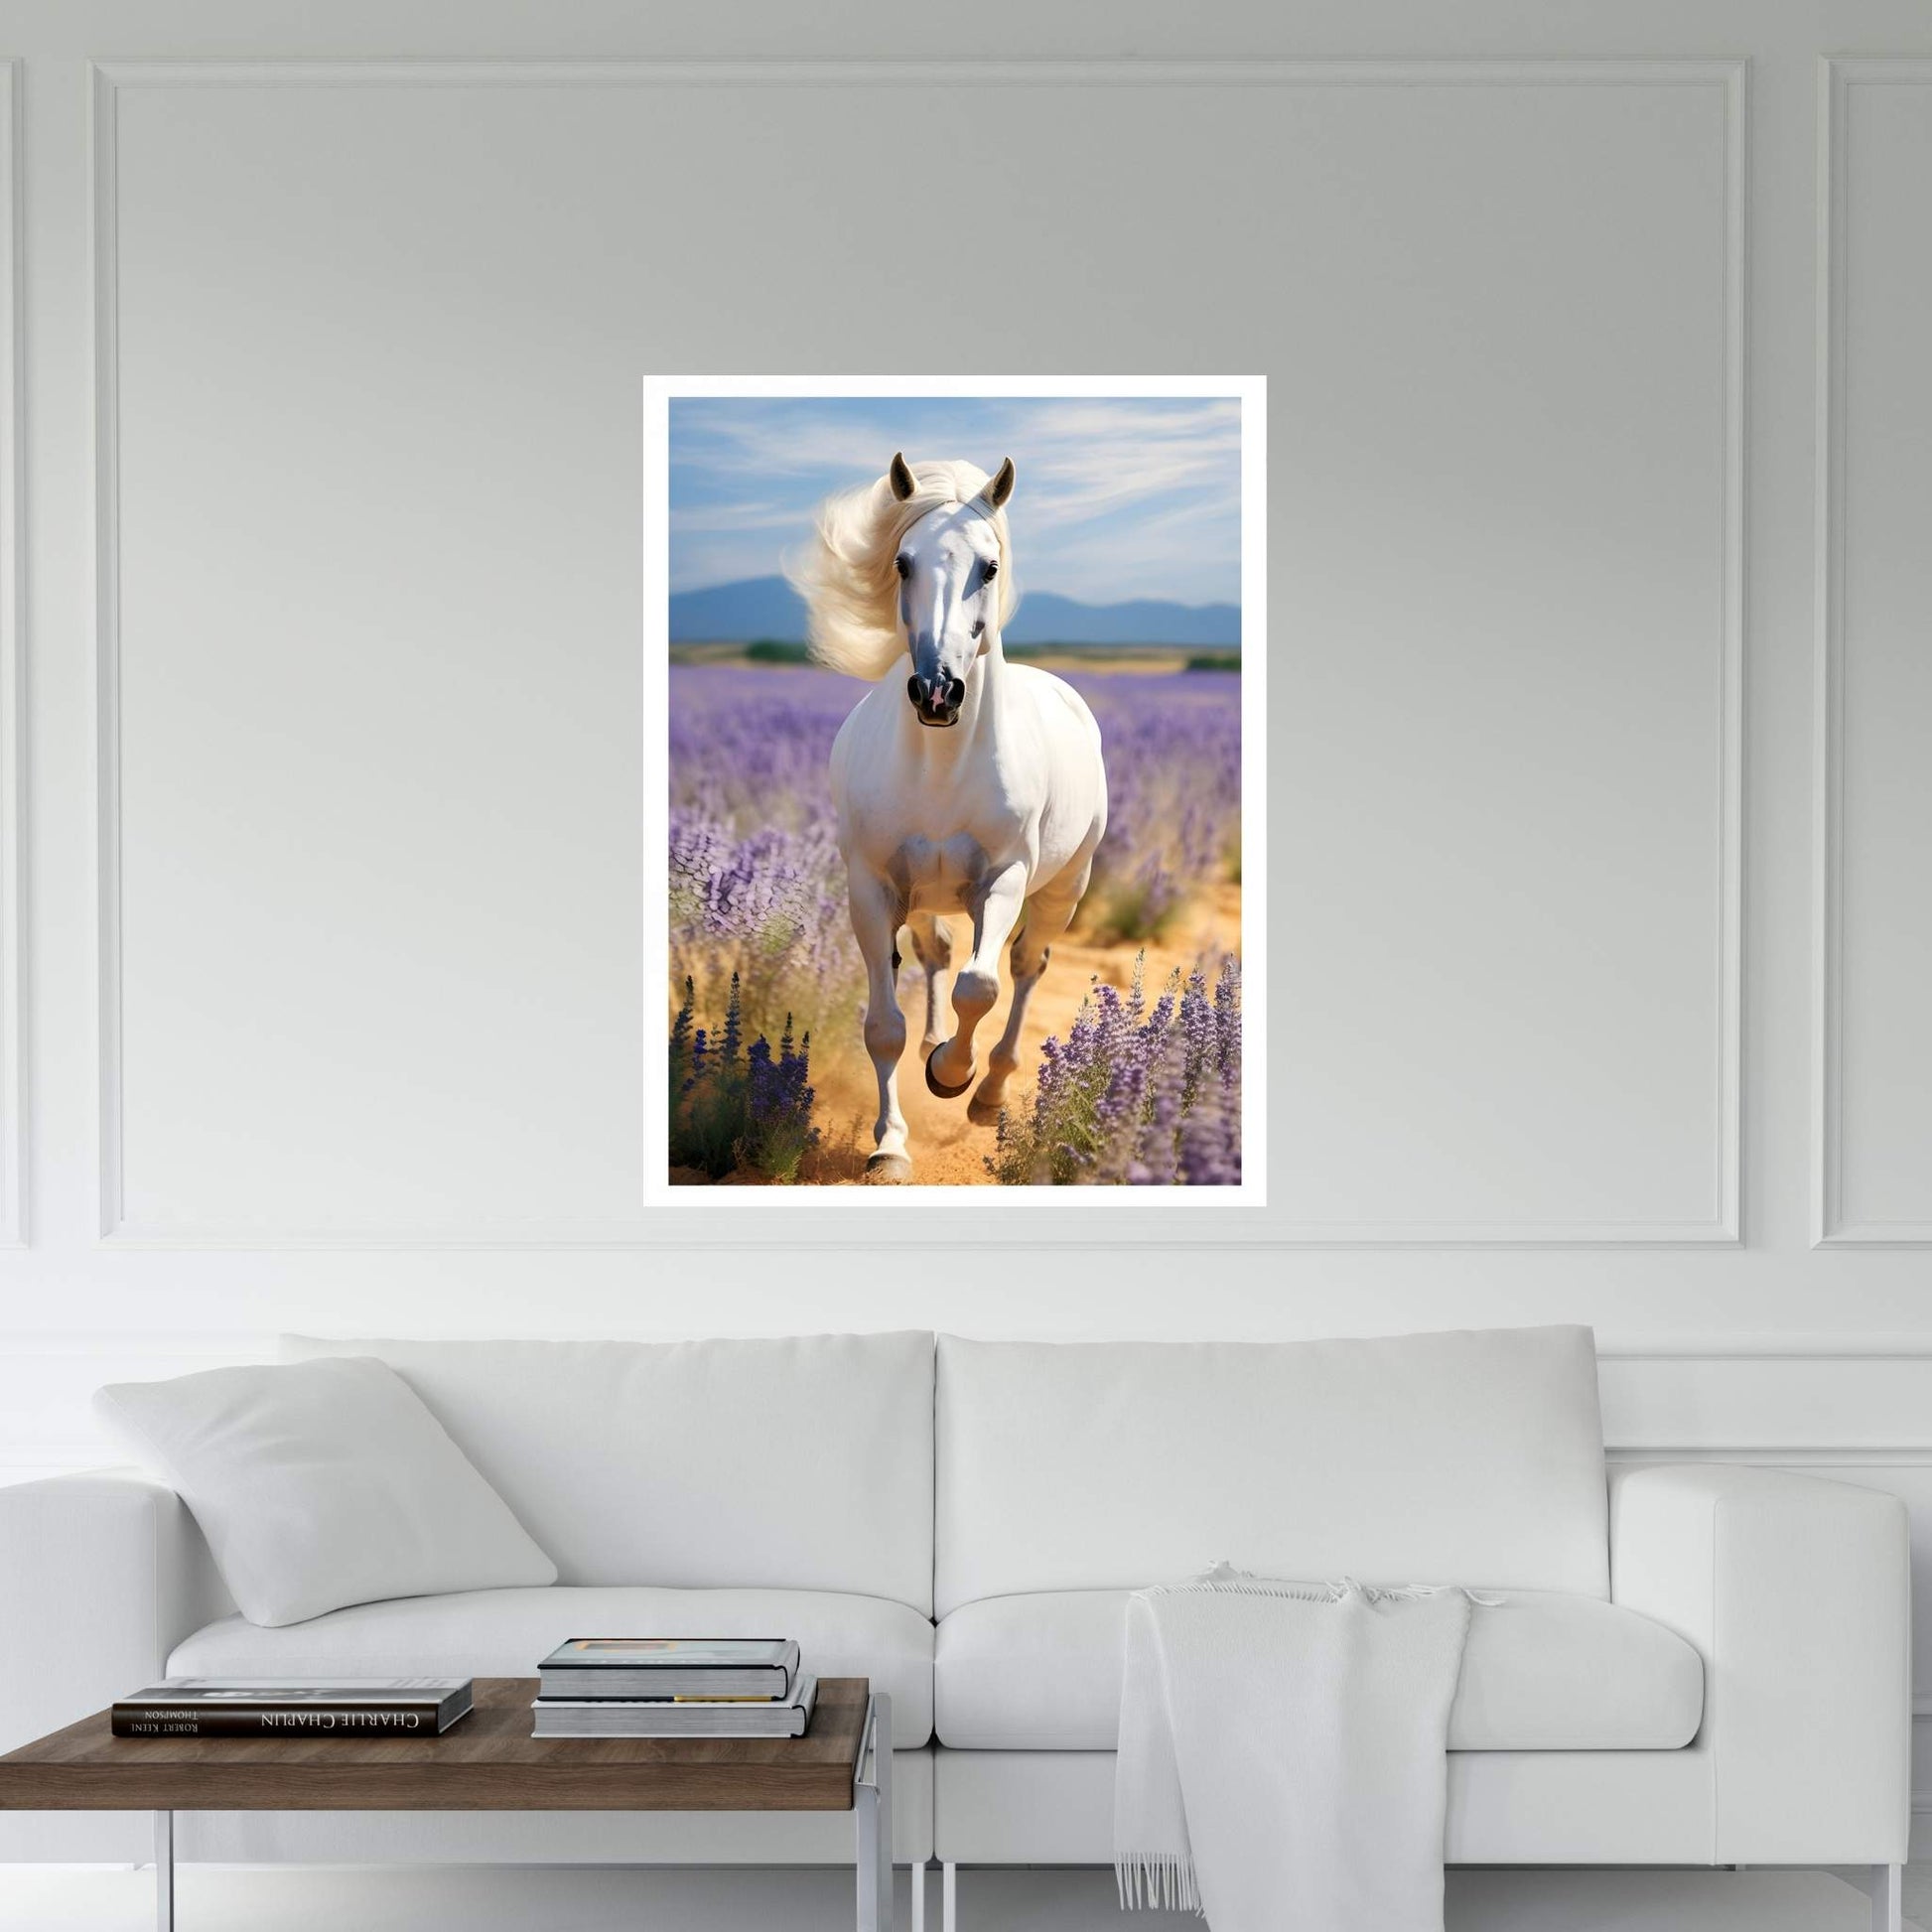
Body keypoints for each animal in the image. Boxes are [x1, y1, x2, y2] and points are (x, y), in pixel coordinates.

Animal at [788, 452, 1109, 1182]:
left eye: (988, 567)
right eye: (903, 562)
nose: (938, 693)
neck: (940, 763)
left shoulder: (1005, 878)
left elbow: (979, 987)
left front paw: (950, 1075)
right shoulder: (872, 887)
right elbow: (885, 1026)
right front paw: (889, 1145)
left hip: (1063, 887)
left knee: (1024, 967)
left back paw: (988, 1093)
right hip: (923, 895)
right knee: (933, 955)